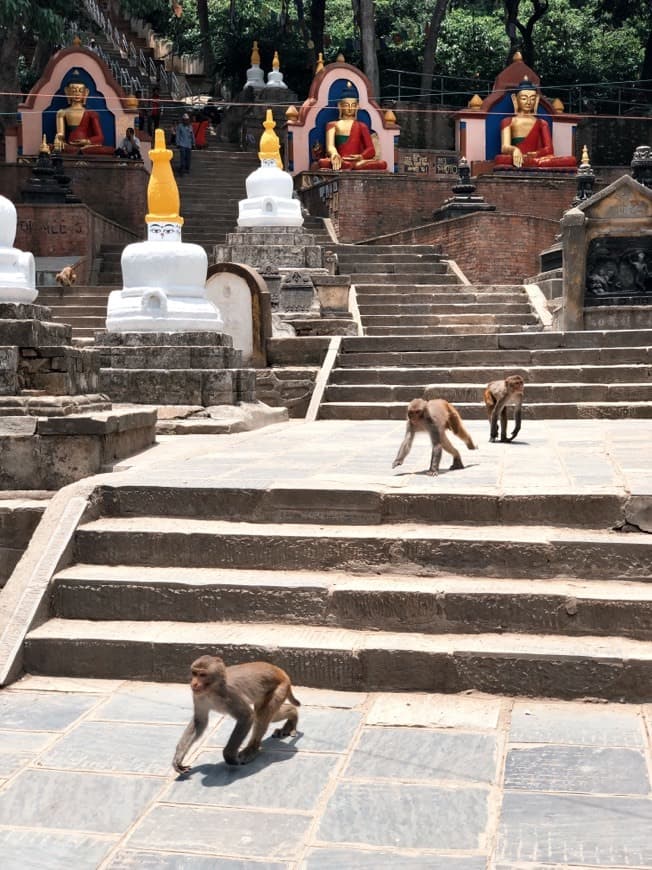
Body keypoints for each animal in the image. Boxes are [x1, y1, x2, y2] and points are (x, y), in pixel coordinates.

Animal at [169, 656, 300, 772]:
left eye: (202, 675)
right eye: (194, 673)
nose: (193, 684)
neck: (212, 689)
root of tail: (280, 671)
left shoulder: (230, 694)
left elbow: (247, 716)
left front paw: (229, 755)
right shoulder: (198, 696)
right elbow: (200, 721)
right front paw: (178, 757)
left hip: (280, 687)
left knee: (262, 713)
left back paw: (252, 749)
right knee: (266, 713)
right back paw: (292, 714)